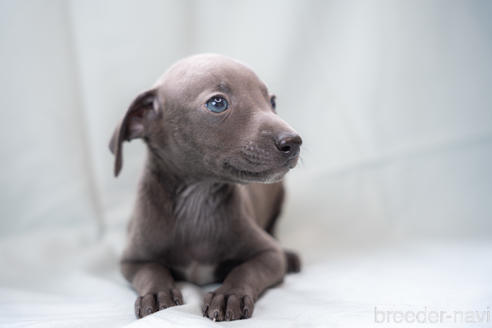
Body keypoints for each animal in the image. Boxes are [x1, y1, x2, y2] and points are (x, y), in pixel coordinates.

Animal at [110, 53, 302, 320]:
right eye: (217, 103)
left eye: (272, 101)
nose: (293, 142)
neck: (198, 198)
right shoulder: (132, 260)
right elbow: (151, 270)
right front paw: (158, 292)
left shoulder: (269, 255)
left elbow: (246, 270)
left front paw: (229, 295)